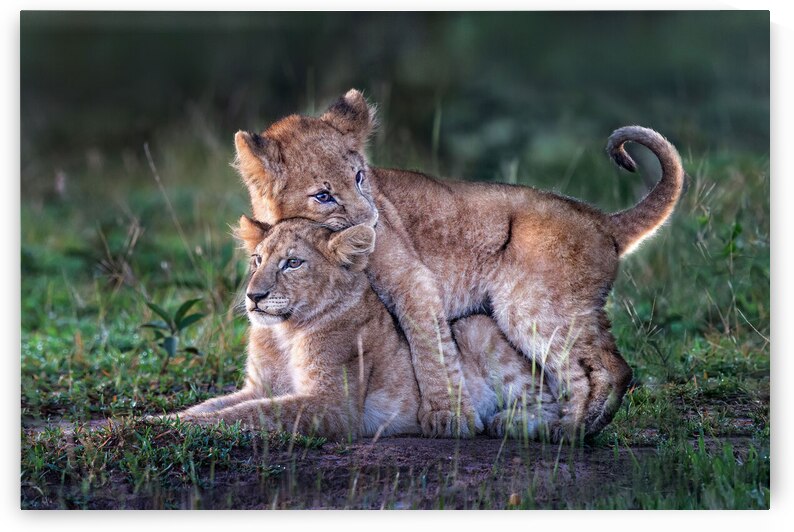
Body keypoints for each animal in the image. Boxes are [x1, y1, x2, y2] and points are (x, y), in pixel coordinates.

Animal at [172, 217, 558, 442]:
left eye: (293, 263)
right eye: (257, 259)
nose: (254, 296)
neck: (283, 333)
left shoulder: (333, 405)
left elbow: (252, 413)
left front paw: (181, 427)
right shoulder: (258, 387)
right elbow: (215, 405)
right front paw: (167, 419)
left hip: (475, 326)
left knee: (551, 404)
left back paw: (511, 423)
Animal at [232, 89, 686, 440]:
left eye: (360, 177)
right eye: (323, 195)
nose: (371, 221)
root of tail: (601, 219)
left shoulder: (413, 280)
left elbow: (430, 348)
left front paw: (447, 417)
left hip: (531, 307)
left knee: (608, 369)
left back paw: (569, 431)